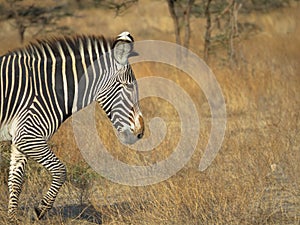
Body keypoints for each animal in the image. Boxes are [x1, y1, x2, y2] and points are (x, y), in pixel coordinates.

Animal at [0, 30, 145, 222]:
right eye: (128, 86)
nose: (141, 132)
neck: (50, 88)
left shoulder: (20, 139)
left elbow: (15, 182)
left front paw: (12, 220)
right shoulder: (29, 136)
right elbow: (61, 170)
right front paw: (41, 209)